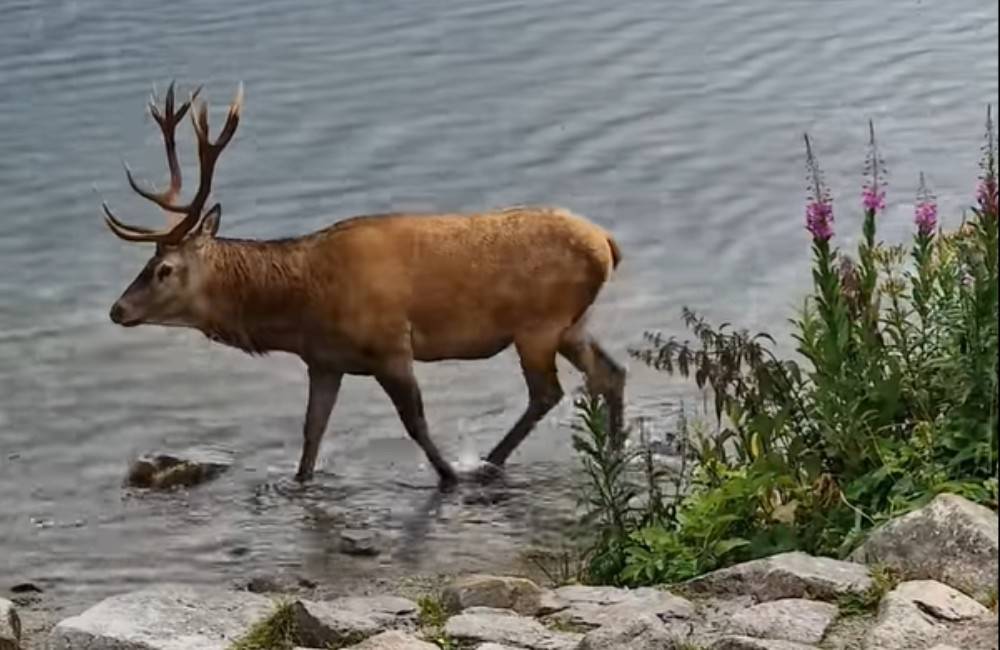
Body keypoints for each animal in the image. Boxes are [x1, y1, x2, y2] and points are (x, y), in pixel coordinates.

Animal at [97, 81, 620, 486]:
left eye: (164, 269)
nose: (117, 310)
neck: (302, 307)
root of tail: (608, 244)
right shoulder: (325, 362)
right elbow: (311, 436)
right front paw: (300, 483)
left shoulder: (391, 346)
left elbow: (416, 424)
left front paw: (449, 475)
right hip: (572, 323)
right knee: (608, 372)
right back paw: (613, 450)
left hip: (538, 325)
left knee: (548, 392)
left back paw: (489, 462)